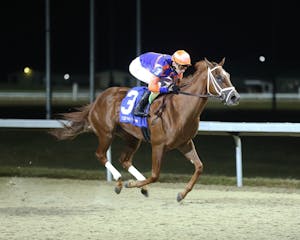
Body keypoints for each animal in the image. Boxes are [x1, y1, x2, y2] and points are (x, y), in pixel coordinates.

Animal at [50, 57, 240, 201]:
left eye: (228, 75)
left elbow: (199, 167)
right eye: (218, 77)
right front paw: (131, 184)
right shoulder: (158, 145)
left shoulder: (185, 143)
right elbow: (155, 175)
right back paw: (121, 181)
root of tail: (98, 99)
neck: (180, 108)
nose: (235, 97)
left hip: (133, 138)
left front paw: (181, 194)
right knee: (101, 155)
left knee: (124, 160)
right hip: (106, 133)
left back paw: (140, 186)